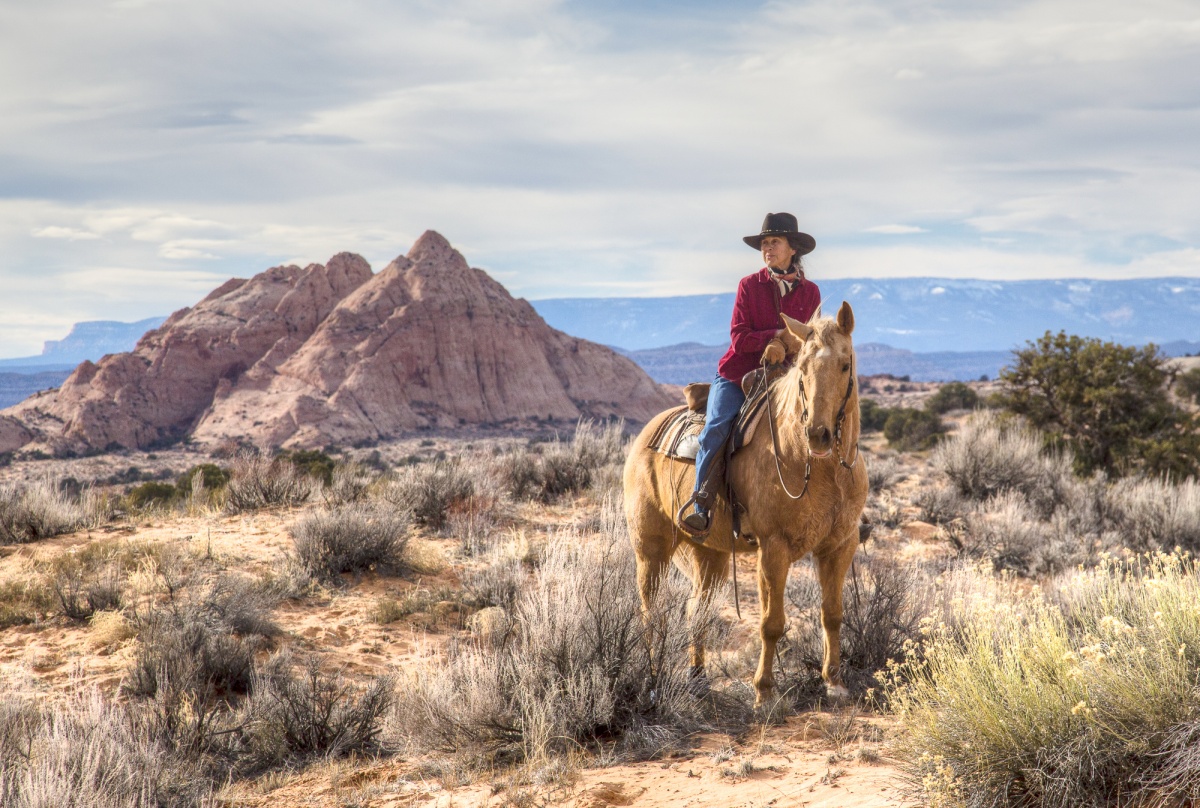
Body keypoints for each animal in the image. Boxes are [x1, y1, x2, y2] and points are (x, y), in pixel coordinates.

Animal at [624, 301, 868, 705]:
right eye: (802, 369)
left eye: (845, 364)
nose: (818, 435)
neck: (817, 467)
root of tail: (647, 432)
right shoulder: (774, 547)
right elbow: (772, 623)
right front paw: (764, 692)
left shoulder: (840, 545)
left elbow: (832, 613)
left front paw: (834, 682)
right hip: (651, 549)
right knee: (650, 612)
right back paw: (653, 680)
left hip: (710, 554)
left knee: (697, 609)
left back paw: (697, 678)